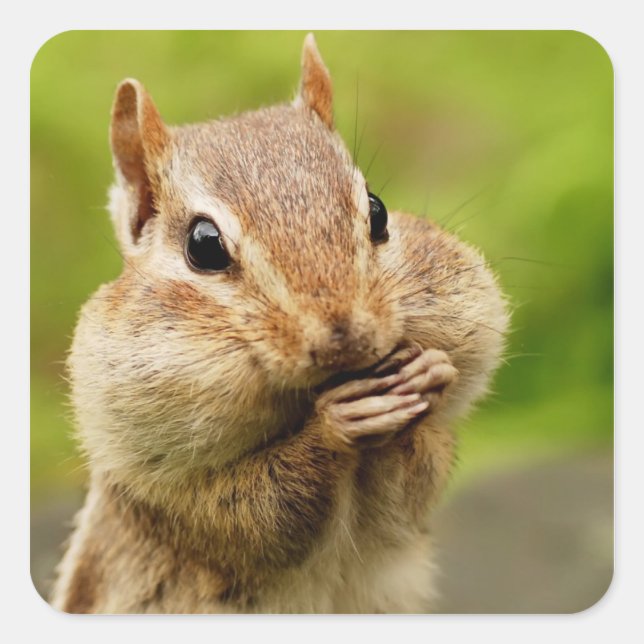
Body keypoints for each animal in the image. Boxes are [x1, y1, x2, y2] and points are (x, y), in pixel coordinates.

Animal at [51, 34, 508, 614]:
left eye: (378, 210)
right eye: (203, 245)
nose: (347, 340)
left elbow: (415, 489)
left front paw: (427, 375)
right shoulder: (172, 494)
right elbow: (260, 517)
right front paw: (335, 424)